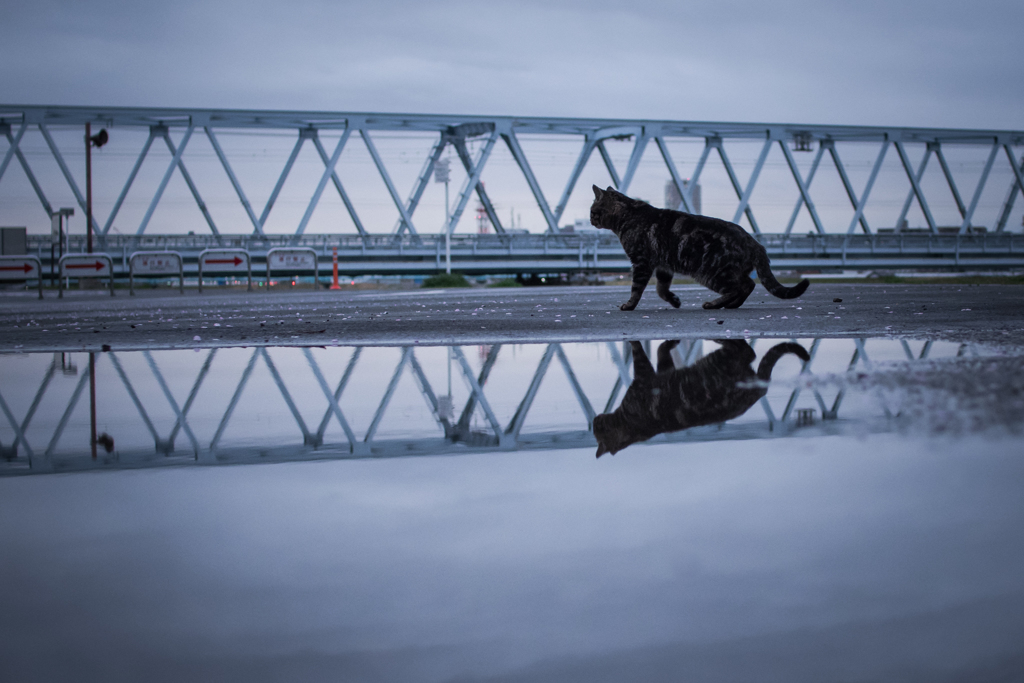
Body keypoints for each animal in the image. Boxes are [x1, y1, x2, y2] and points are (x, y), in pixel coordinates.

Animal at [589, 184, 811, 309]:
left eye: (592, 210)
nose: (590, 219)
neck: (628, 215)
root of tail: (755, 243)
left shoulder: (642, 262)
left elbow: (636, 289)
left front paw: (629, 305)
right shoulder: (663, 266)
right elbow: (661, 289)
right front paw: (674, 300)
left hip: (712, 273)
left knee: (738, 287)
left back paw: (714, 304)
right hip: (729, 271)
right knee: (748, 285)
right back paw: (730, 305)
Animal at [593, 337, 806, 456]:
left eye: (597, 427)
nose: (594, 418)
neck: (627, 423)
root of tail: (759, 387)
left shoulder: (656, 371)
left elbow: (660, 350)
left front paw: (669, 342)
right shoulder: (645, 375)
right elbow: (642, 349)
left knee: (747, 351)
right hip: (722, 360)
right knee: (746, 351)